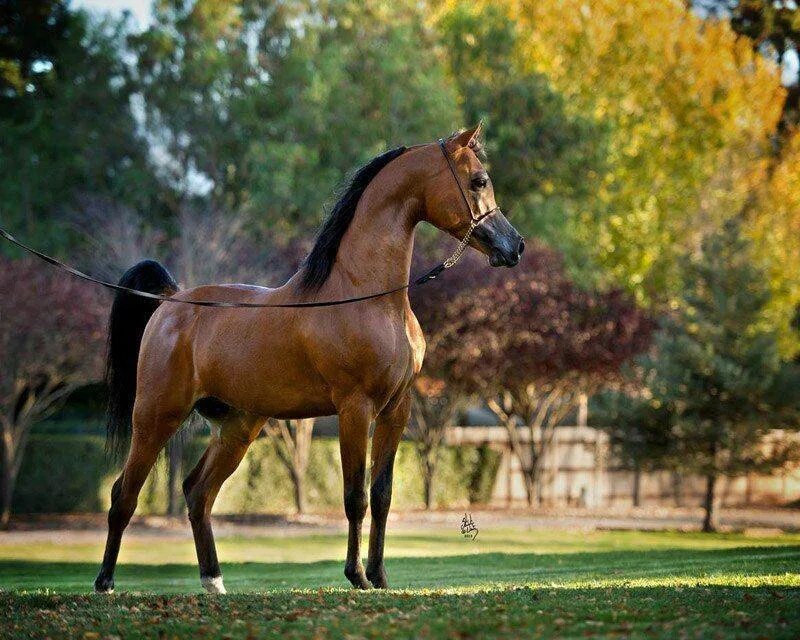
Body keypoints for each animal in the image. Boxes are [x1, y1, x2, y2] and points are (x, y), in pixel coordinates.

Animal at [94, 125, 524, 596]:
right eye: (479, 180)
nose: (515, 246)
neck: (368, 297)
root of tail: (171, 302)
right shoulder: (355, 409)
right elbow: (355, 497)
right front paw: (357, 576)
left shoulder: (397, 409)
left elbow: (383, 495)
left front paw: (380, 576)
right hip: (156, 417)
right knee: (123, 495)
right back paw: (105, 583)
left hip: (237, 427)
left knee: (197, 493)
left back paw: (214, 582)